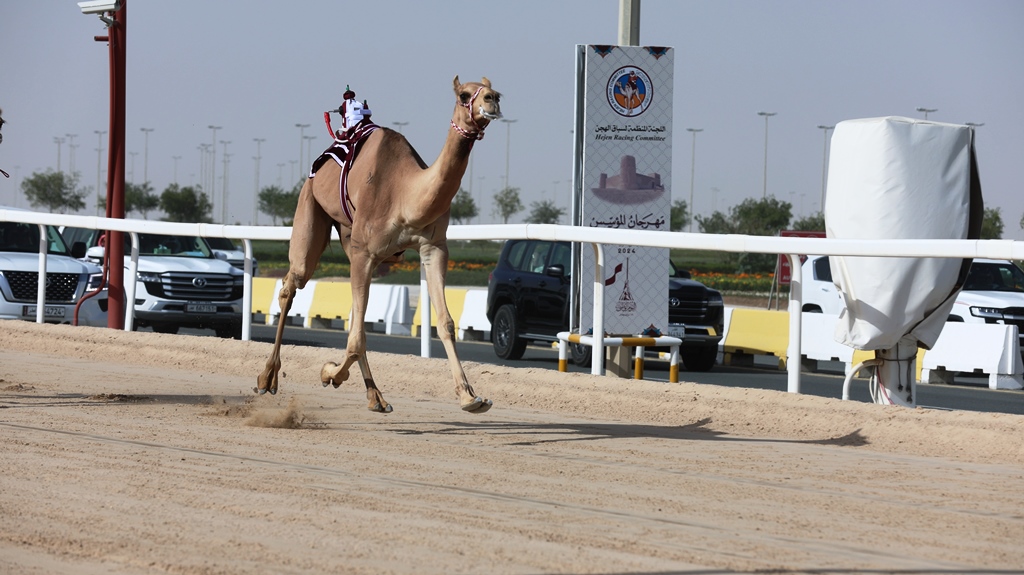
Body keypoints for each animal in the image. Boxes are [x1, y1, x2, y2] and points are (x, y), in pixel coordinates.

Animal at [253, 76, 497, 411]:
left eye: (495, 90)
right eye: (463, 95)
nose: (492, 100)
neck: (405, 194)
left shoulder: (433, 247)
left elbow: (445, 323)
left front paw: (469, 396)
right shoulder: (364, 252)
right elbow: (356, 339)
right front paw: (329, 372)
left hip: (348, 236)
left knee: (355, 313)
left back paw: (376, 396)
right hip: (310, 205)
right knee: (292, 284)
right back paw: (267, 378)